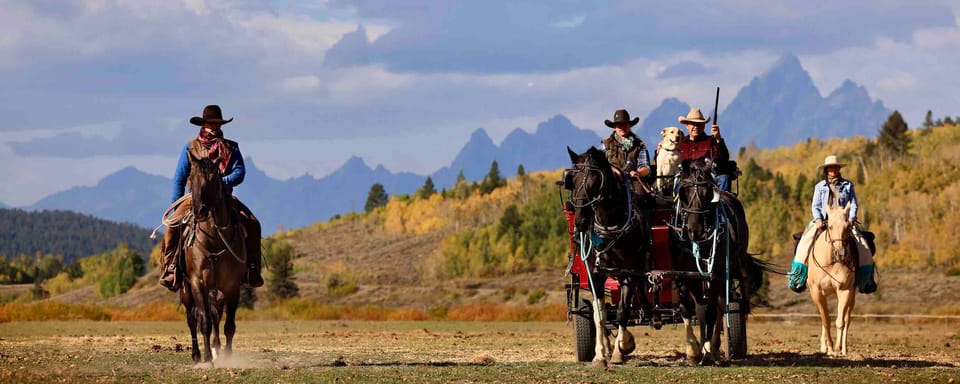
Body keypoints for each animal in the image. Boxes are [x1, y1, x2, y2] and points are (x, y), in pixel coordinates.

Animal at [180, 152, 248, 368]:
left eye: (213, 179)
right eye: (191, 178)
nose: (199, 211)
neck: (214, 239)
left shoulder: (232, 286)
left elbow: (229, 325)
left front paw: (226, 356)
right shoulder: (198, 283)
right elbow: (205, 322)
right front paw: (208, 358)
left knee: (216, 315)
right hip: (186, 289)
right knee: (192, 319)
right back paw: (196, 355)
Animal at [568, 148, 648, 368]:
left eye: (596, 181)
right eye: (573, 180)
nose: (580, 222)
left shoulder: (629, 272)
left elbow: (622, 311)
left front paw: (623, 348)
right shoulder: (595, 275)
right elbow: (599, 315)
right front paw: (600, 354)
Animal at [672, 158, 768, 364]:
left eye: (708, 192)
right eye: (683, 191)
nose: (695, 230)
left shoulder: (716, 273)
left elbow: (711, 312)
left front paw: (708, 350)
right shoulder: (684, 274)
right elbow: (689, 309)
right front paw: (693, 351)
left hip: (728, 269)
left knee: (720, 306)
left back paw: (714, 348)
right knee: (703, 307)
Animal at [808, 202, 860, 356]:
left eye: (847, 227)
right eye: (829, 226)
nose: (841, 253)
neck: (831, 262)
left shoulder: (844, 290)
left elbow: (840, 322)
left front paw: (836, 348)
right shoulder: (817, 292)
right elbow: (825, 320)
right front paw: (829, 347)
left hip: (851, 296)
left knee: (847, 319)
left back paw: (844, 349)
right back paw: (824, 346)